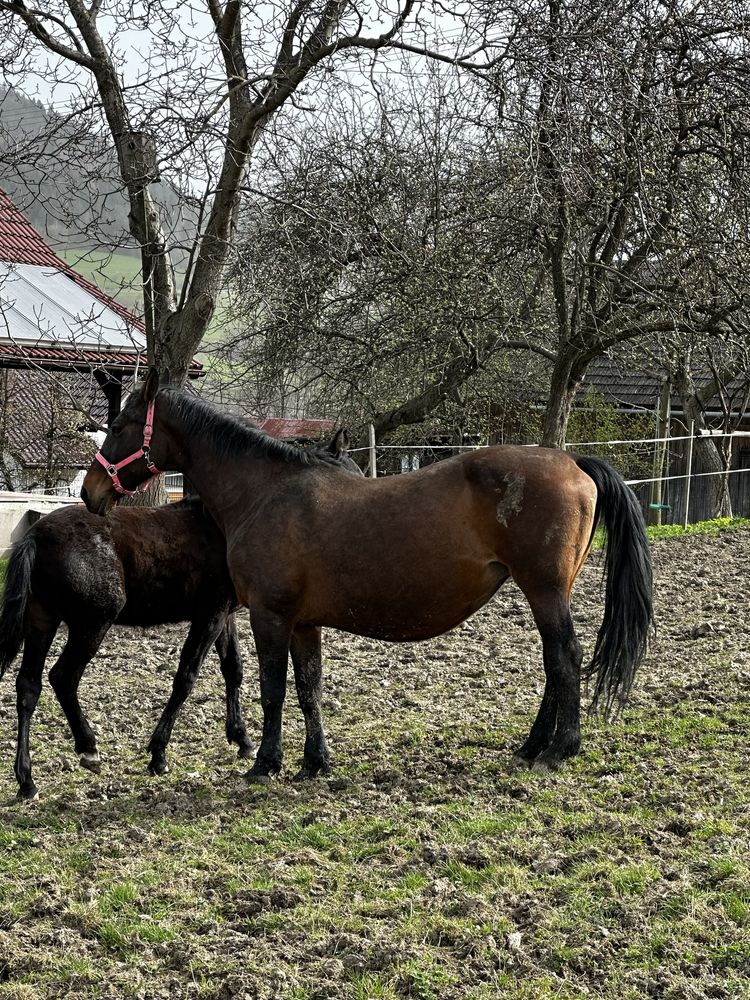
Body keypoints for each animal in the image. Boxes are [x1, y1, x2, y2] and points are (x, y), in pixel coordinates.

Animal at [82, 372, 656, 784]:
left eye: (119, 426)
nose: (90, 491)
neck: (265, 492)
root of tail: (572, 461)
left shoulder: (270, 616)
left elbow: (272, 690)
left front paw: (265, 764)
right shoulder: (302, 624)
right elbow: (308, 688)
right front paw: (314, 762)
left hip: (544, 590)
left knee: (565, 659)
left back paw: (559, 748)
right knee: (555, 663)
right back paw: (532, 745)